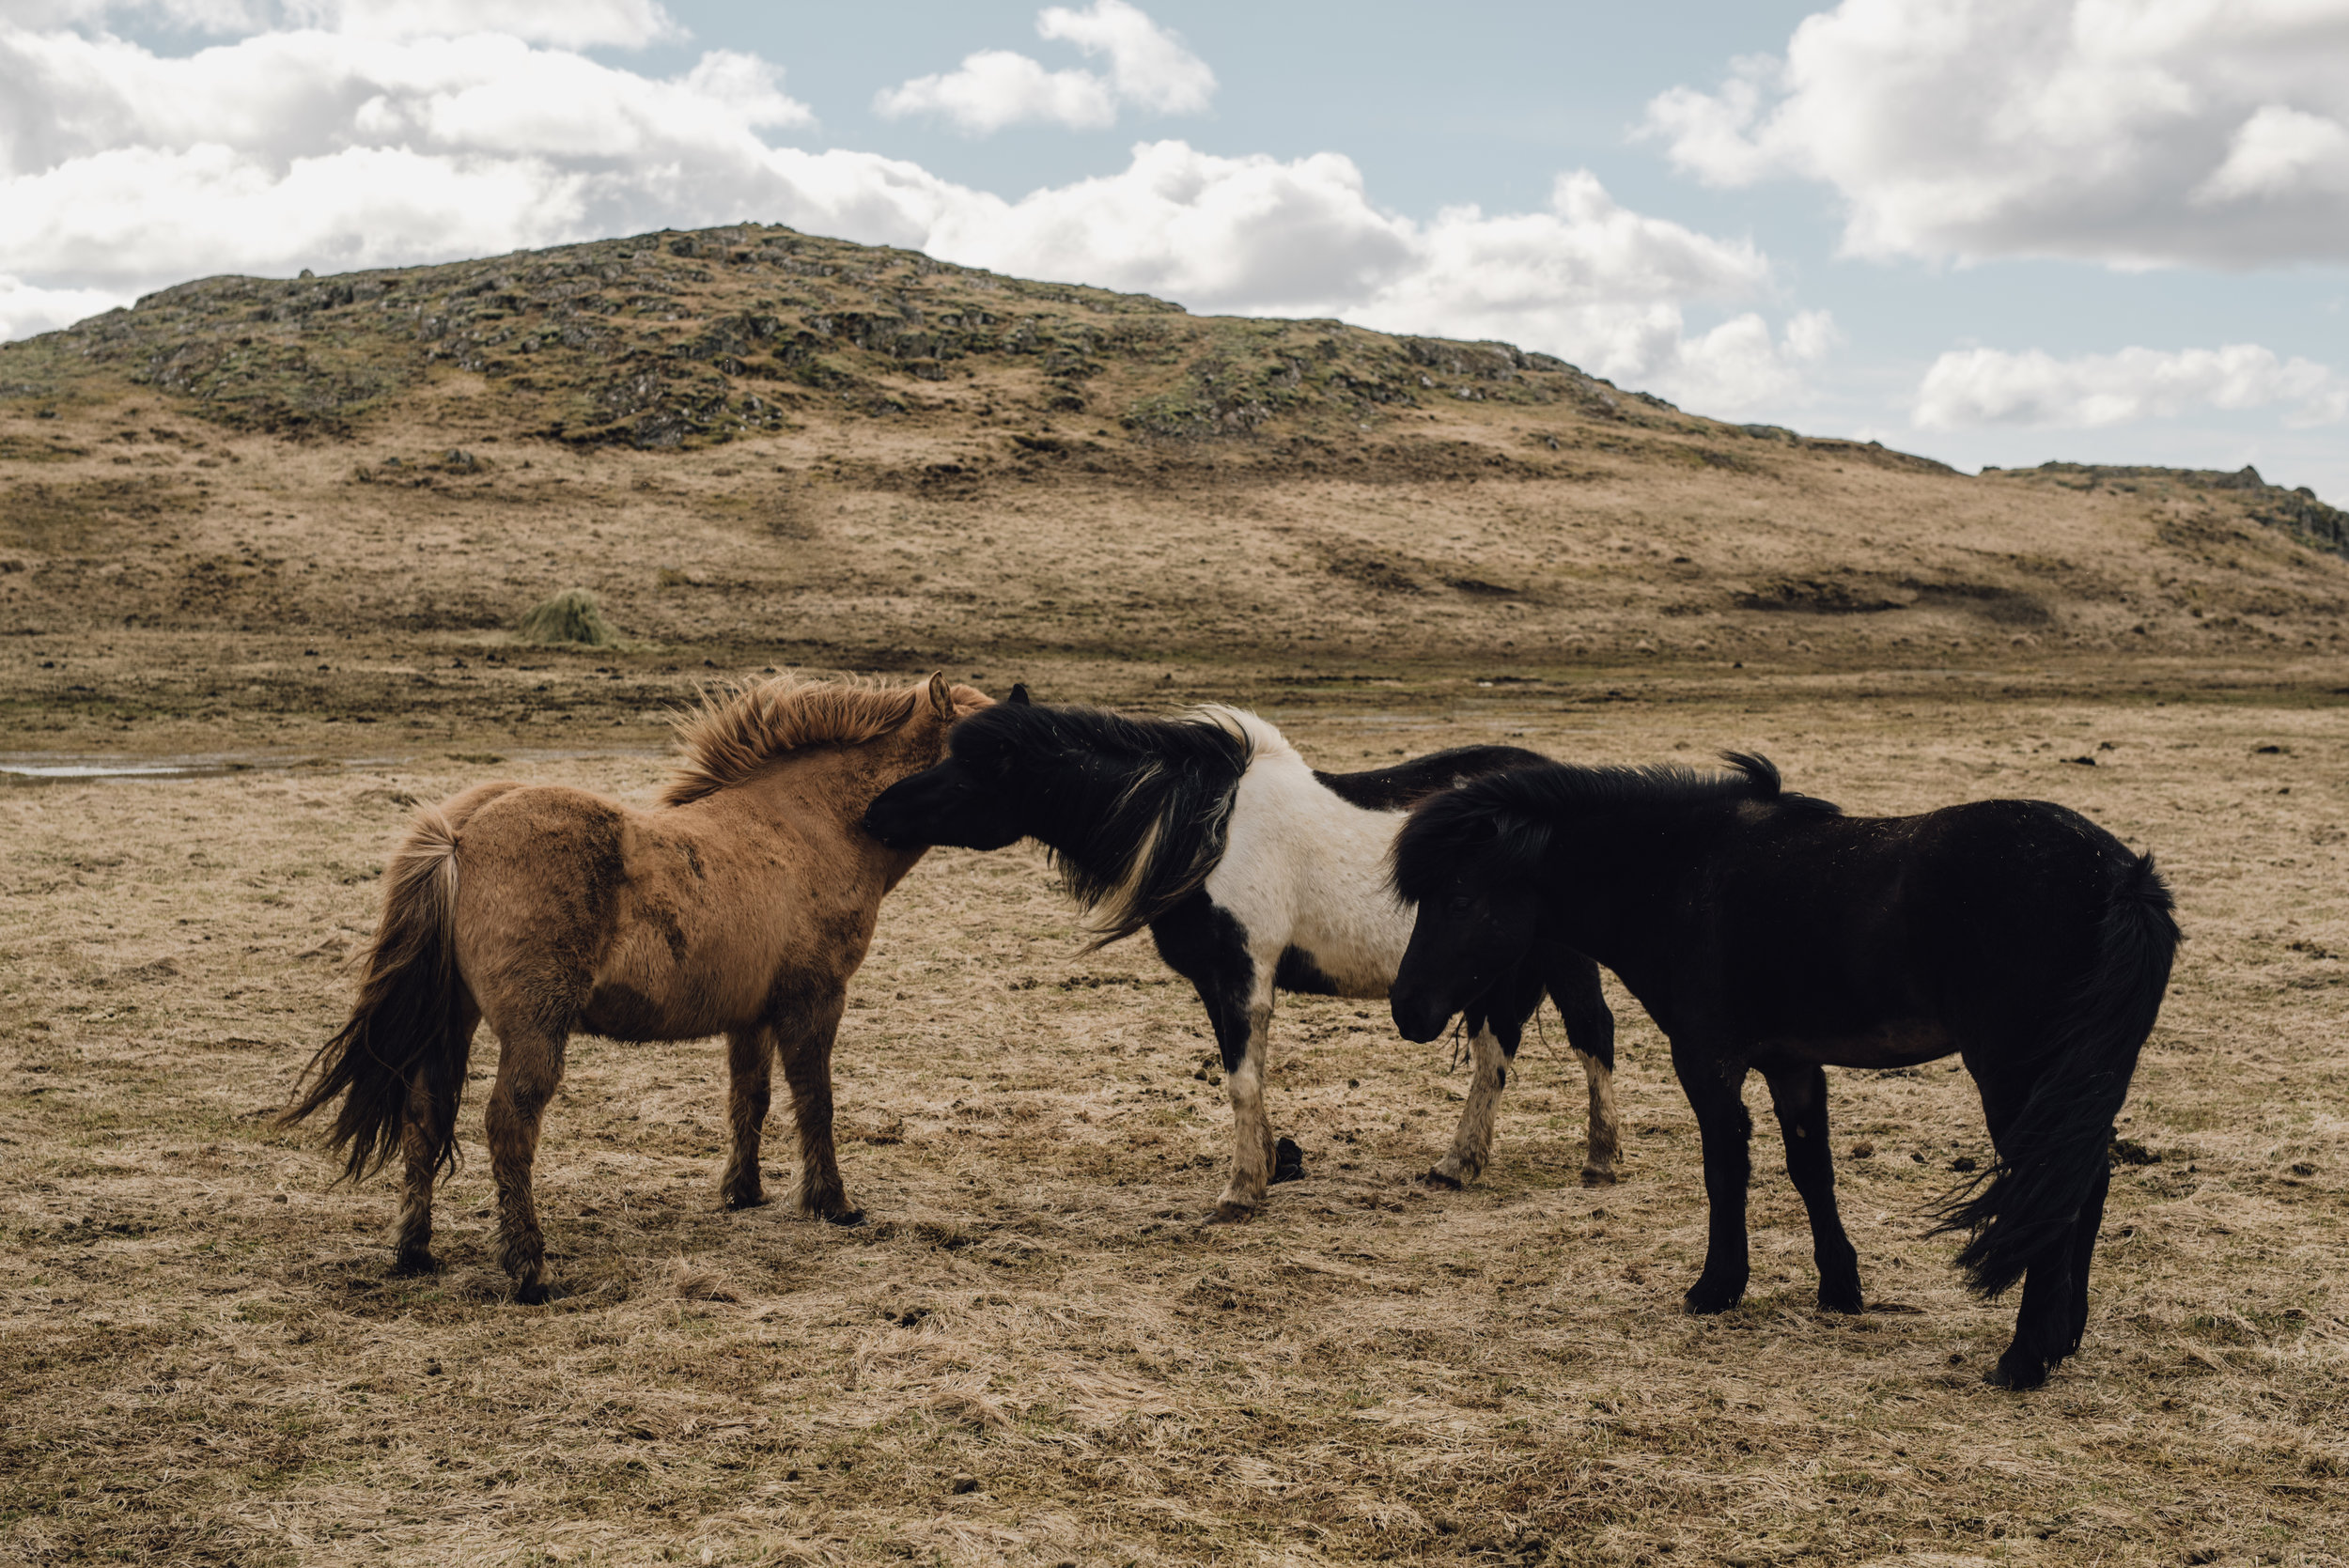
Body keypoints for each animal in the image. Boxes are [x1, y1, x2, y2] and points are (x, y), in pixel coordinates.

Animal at [284, 671, 991, 1296]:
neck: (807, 825)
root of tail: (460, 834)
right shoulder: (815, 1000)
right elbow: (816, 1100)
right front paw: (834, 1204)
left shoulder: (752, 1015)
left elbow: (750, 1099)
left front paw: (743, 1192)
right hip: (534, 1030)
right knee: (509, 1127)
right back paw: (530, 1270)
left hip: (452, 1024)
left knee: (424, 1119)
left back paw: (415, 1251)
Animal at [864, 690, 1616, 1220]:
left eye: (971, 771)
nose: (874, 813)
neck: (1208, 827)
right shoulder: (1219, 980)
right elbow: (1248, 1073)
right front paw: (1271, 1164)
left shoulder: (1241, 972)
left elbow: (1241, 1078)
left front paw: (1240, 1191)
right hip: (1492, 974)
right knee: (1495, 1053)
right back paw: (1457, 1164)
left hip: (1559, 961)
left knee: (1593, 1033)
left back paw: (1601, 1160)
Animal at [1381, 751, 2170, 1389]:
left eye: (1459, 898)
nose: (1407, 1007)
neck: (1679, 871)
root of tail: (2120, 875)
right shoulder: (1793, 1064)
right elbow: (1810, 1169)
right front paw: (1840, 1286)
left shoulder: (1707, 1062)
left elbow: (1725, 1170)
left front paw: (1716, 1286)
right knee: (2085, 1183)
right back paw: (2065, 1333)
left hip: (2015, 1076)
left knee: (2055, 1192)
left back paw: (2025, 1355)